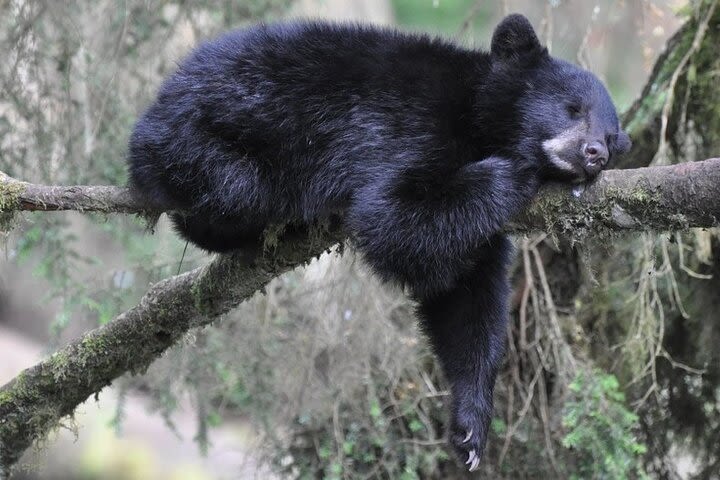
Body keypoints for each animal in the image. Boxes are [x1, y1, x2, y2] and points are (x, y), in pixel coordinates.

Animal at [128, 14, 632, 468]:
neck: (475, 116)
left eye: (612, 137)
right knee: (231, 189)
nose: (595, 154)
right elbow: (392, 216)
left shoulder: (486, 236)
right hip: (216, 138)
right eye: (572, 108)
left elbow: (465, 296)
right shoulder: (411, 127)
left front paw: (470, 429)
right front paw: (516, 170)